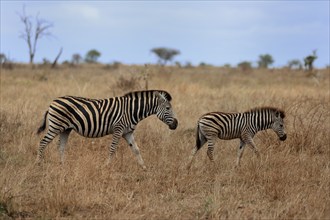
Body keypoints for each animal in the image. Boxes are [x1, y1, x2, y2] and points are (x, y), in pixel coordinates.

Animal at [36, 89, 178, 168]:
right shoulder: (118, 129)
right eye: (168, 108)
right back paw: (38, 164)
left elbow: (136, 150)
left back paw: (62, 166)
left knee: (60, 147)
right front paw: (107, 166)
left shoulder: (128, 132)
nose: (176, 124)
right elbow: (113, 148)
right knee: (43, 142)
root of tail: (53, 102)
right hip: (56, 125)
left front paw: (144, 168)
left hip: (65, 129)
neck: (132, 111)